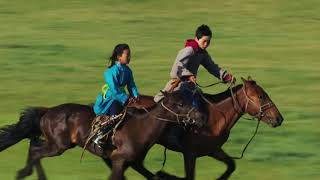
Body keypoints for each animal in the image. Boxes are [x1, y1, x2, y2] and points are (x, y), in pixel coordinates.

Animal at [0, 91, 206, 180]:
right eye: (180, 104)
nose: (200, 117)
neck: (141, 127)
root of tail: (48, 111)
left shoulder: (133, 162)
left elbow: (154, 177)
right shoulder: (118, 160)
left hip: (58, 144)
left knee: (33, 147)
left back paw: (24, 172)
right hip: (58, 146)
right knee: (36, 151)